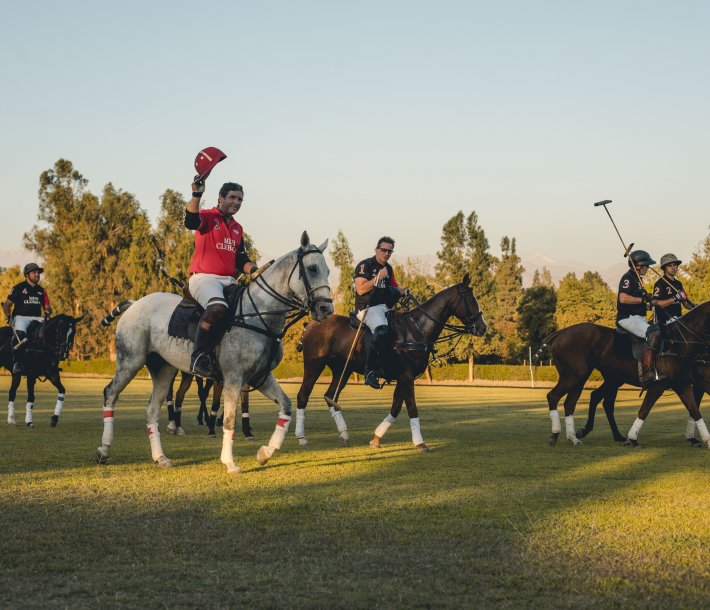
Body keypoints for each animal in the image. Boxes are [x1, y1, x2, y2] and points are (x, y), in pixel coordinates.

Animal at [94, 230, 334, 472]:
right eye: (313, 268)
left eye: (328, 271)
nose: (326, 308)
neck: (260, 315)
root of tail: (135, 303)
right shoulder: (234, 377)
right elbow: (228, 419)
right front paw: (230, 463)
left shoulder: (260, 376)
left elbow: (286, 406)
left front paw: (265, 453)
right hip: (130, 359)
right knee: (110, 393)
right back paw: (103, 450)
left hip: (163, 368)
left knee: (151, 409)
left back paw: (160, 457)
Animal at [296, 274, 490, 448]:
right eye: (471, 299)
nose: (483, 327)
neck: (417, 329)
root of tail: (310, 325)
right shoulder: (406, 376)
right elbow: (412, 407)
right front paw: (420, 443)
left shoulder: (404, 377)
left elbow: (396, 407)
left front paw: (376, 439)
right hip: (314, 365)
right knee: (303, 395)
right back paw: (302, 438)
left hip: (342, 370)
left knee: (331, 396)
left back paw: (344, 434)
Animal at [544, 300, 710, 446]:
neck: (680, 342)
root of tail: (561, 333)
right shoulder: (658, 385)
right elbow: (644, 411)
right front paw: (633, 438)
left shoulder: (683, 384)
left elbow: (695, 411)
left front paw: (704, 440)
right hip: (574, 376)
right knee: (554, 396)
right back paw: (556, 434)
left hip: (593, 378)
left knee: (578, 402)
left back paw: (577, 437)